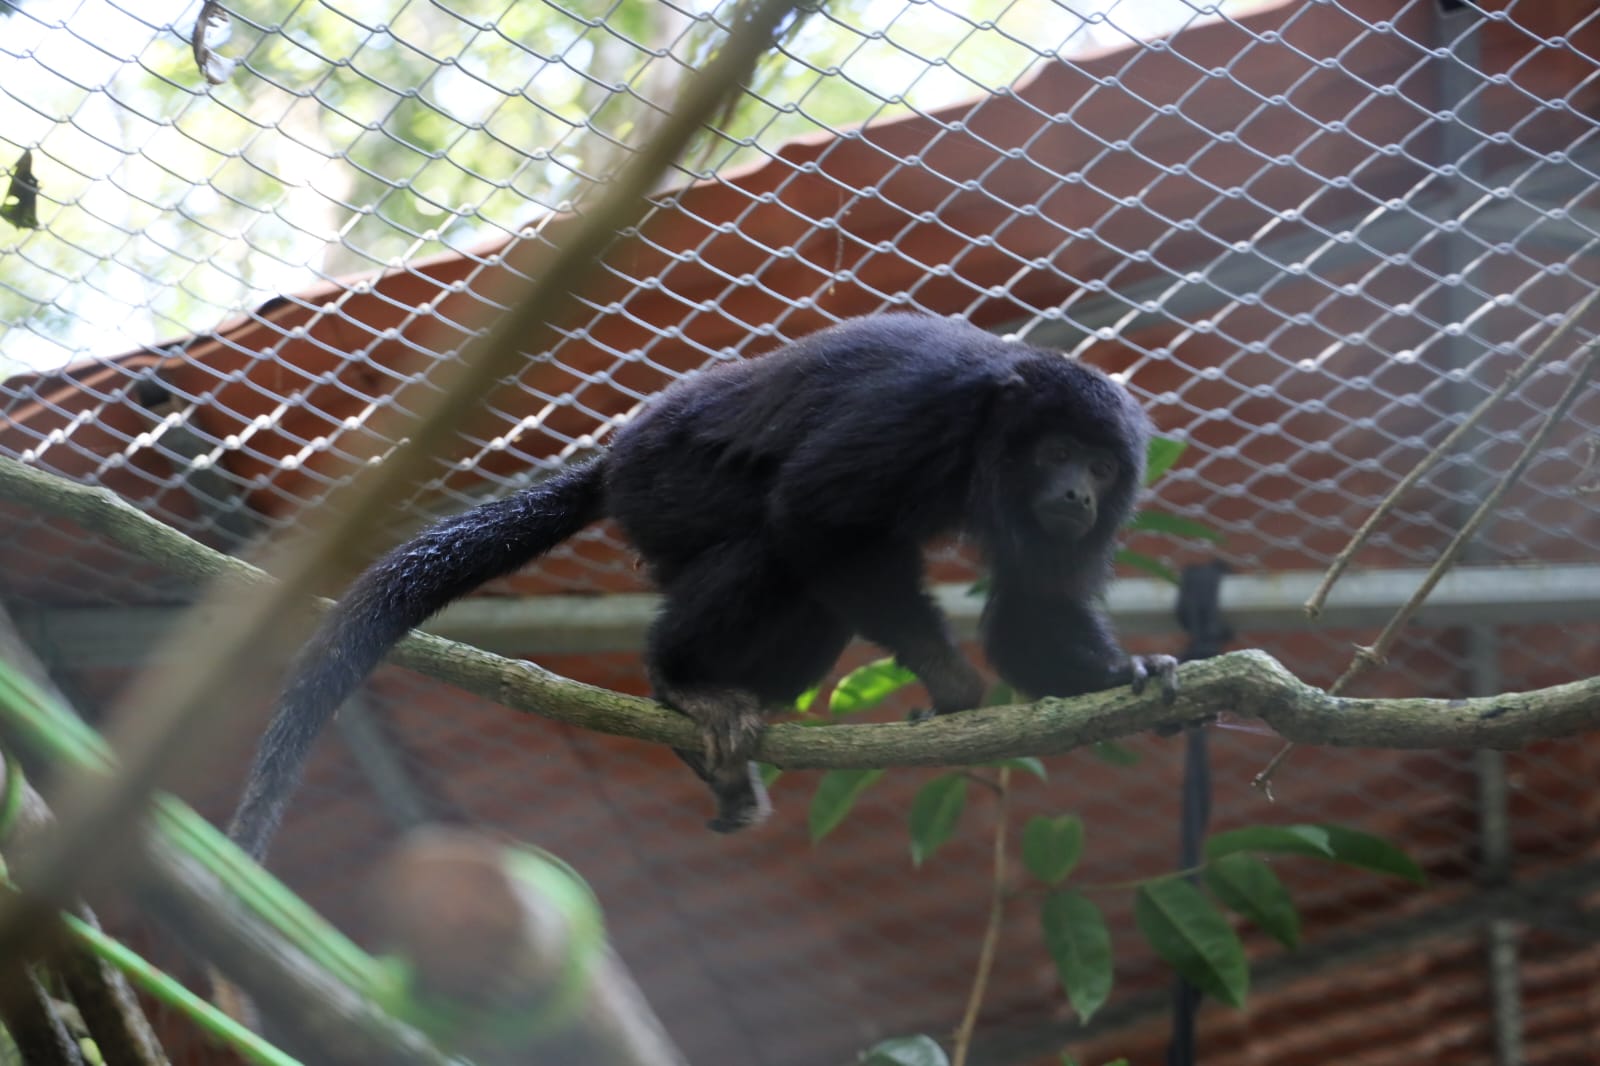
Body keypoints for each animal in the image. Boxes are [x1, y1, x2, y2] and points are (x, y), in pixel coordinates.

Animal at [226, 313, 1177, 860]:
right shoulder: (922, 410)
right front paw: (947, 679)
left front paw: (1118, 675)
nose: (1077, 495)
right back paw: (679, 680)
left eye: (1101, 465)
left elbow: (1036, 607)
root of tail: (616, 456)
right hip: (670, 485)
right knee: (772, 544)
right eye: (1058, 451)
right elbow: (814, 513)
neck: (990, 436)